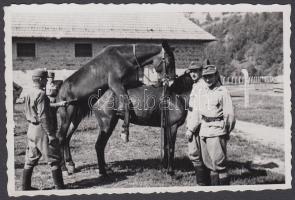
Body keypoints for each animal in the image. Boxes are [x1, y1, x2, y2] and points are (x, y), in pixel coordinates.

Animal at [56, 42, 176, 173]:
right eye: (169, 61)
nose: (171, 82)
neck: (123, 57)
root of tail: (60, 91)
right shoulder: (115, 84)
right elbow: (127, 102)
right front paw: (125, 131)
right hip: (66, 116)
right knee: (61, 137)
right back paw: (63, 168)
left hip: (75, 118)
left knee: (67, 137)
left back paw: (70, 163)